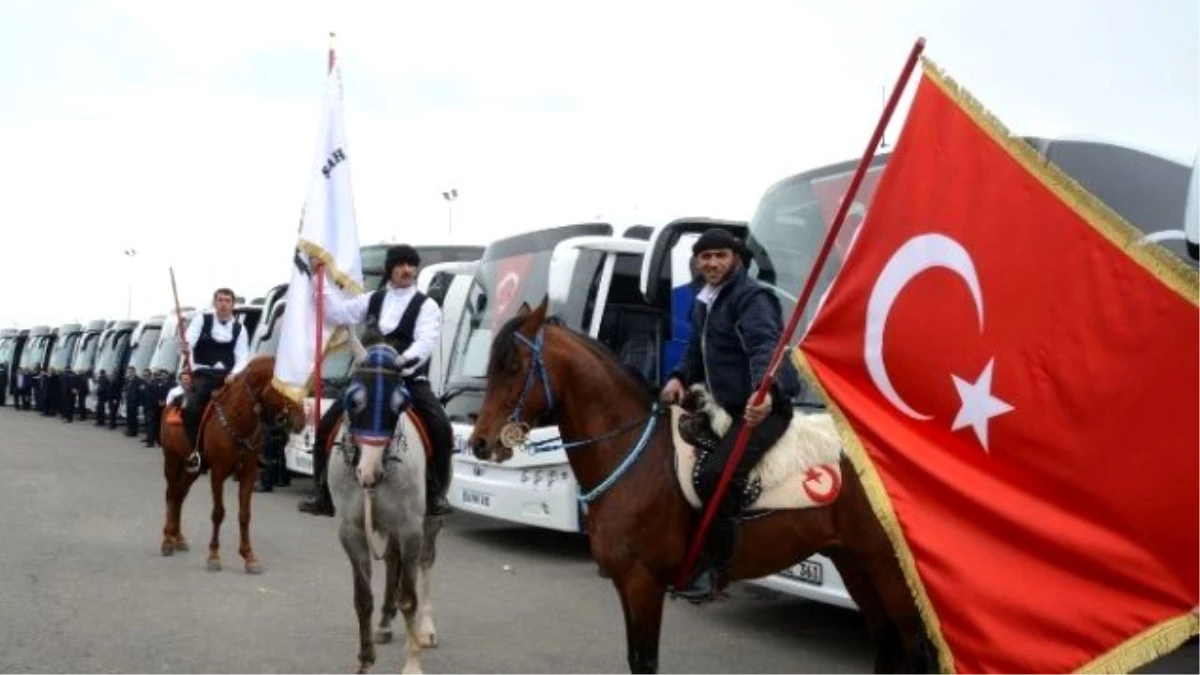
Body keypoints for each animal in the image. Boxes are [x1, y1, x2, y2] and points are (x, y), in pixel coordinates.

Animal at [158, 355, 304, 569]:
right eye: (283, 384)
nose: (301, 420)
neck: (238, 420)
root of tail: (172, 404)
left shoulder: (249, 472)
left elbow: (245, 514)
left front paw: (249, 556)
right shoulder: (218, 472)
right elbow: (218, 512)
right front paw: (214, 555)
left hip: (193, 469)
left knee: (179, 495)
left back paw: (179, 538)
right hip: (172, 459)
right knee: (170, 495)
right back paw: (168, 540)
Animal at [328, 333, 446, 672]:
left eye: (400, 404)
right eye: (353, 400)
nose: (368, 473)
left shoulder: (410, 530)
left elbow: (409, 598)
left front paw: (412, 663)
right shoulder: (352, 532)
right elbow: (362, 599)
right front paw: (365, 663)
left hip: (428, 524)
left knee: (426, 563)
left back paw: (426, 630)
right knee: (393, 560)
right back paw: (383, 624)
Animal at [468, 299, 936, 672]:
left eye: (513, 367)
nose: (480, 442)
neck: (634, 457)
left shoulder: (643, 582)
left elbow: (645, 662)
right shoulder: (625, 584)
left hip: (887, 568)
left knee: (915, 649)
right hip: (854, 563)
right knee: (888, 644)